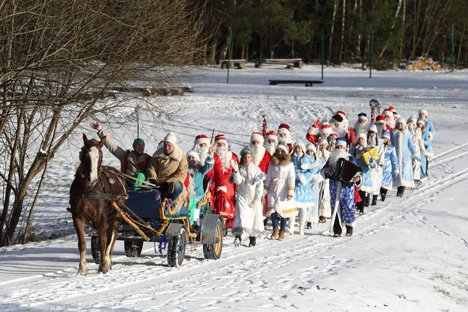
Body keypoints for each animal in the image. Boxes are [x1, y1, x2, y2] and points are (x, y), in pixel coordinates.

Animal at [69, 133, 128, 274]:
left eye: (100, 155)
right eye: (85, 154)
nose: (93, 179)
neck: (88, 190)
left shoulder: (102, 217)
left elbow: (102, 242)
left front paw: (103, 266)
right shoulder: (77, 216)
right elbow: (82, 243)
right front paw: (82, 269)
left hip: (117, 215)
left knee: (111, 237)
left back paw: (107, 260)